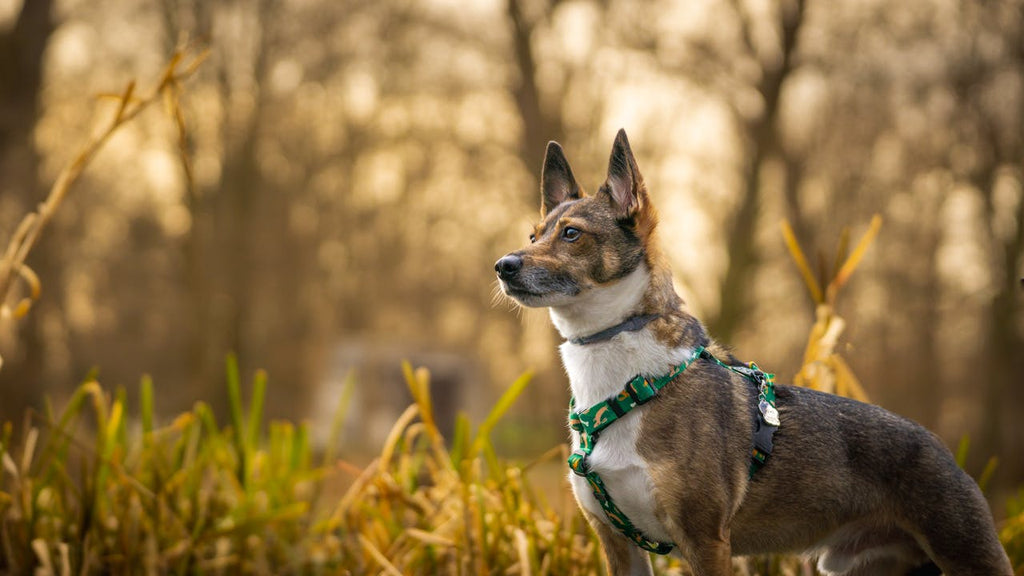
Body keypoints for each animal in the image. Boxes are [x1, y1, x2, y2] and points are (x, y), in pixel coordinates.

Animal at [493, 130, 1007, 573]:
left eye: (572, 234)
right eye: (535, 235)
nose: (503, 266)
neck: (625, 378)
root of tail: (946, 452)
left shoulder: (705, 540)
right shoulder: (618, 545)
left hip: (970, 556)